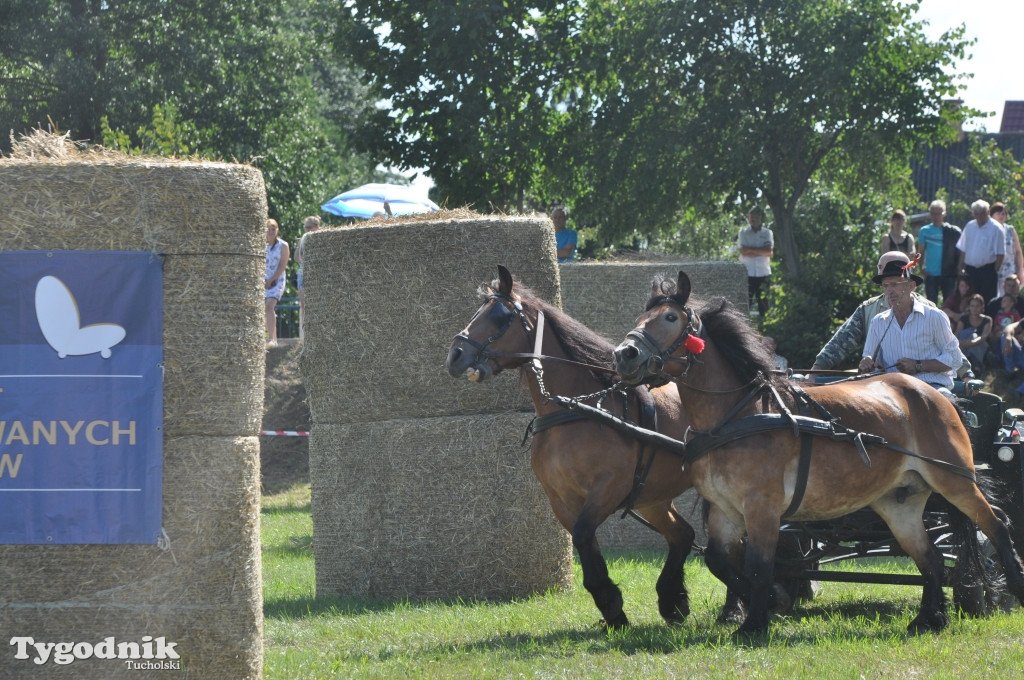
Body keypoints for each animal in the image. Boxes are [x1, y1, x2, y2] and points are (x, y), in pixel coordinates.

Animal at [444, 266, 741, 626]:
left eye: (498, 316)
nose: (455, 355)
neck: (574, 411)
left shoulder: (608, 487)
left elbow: (585, 533)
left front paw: (611, 603)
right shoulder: (560, 498)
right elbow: (583, 540)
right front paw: (612, 609)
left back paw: (732, 608)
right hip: (652, 497)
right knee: (682, 535)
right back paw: (673, 600)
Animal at [610, 270, 1024, 639]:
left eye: (670, 317)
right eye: (639, 320)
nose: (624, 354)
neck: (737, 413)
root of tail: (938, 397)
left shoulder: (762, 506)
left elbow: (758, 564)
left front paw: (755, 623)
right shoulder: (725, 509)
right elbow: (719, 560)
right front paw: (769, 602)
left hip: (954, 479)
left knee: (996, 525)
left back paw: (1010, 586)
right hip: (899, 502)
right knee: (931, 558)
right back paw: (929, 619)